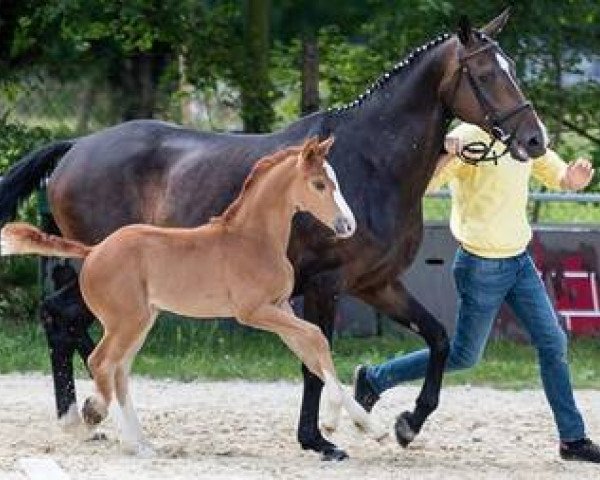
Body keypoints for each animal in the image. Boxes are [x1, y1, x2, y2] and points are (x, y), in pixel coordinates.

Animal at [1, 137, 384, 456]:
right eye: (319, 184)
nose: (348, 225)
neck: (253, 239)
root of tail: (93, 251)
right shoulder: (254, 311)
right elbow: (317, 339)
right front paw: (333, 424)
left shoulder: (280, 309)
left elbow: (313, 354)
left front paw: (370, 427)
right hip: (127, 321)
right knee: (102, 362)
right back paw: (97, 416)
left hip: (141, 321)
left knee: (119, 369)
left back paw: (141, 445)